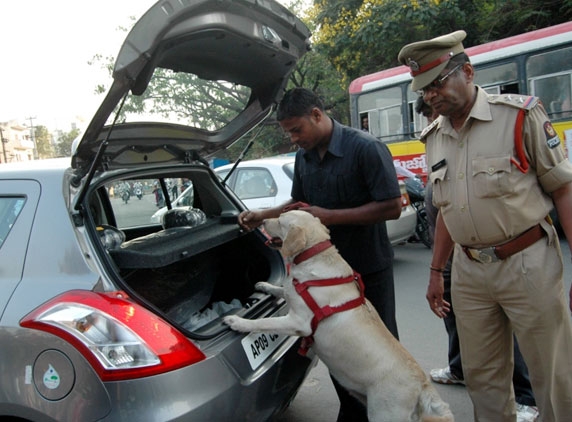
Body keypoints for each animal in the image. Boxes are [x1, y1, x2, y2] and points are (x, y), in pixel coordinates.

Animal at [223, 211, 452, 422]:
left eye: (280, 220)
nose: (262, 220)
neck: (313, 257)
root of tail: (422, 385)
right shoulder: (292, 294)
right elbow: (282, 290)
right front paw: (265, 285)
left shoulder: (299, 322)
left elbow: (266, 322)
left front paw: (239, 322)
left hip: (384, 413)